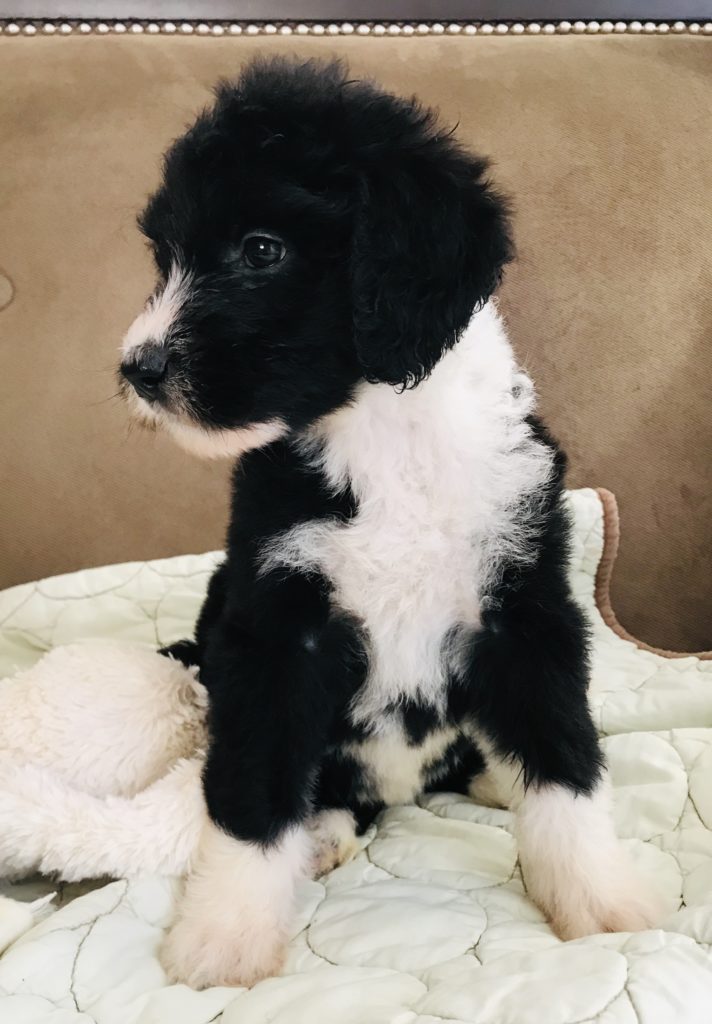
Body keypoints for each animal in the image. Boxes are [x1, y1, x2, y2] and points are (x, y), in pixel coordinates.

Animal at [119, 59, 659, 987]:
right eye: (165, 254)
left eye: (261, 250)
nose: (138, 369)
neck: (384, 435)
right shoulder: (275, 627)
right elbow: (253, 785)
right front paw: (224, 935)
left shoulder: (523, 608)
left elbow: (565, 760)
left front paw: (601, 902)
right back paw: (323, 834)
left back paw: (489, 776)